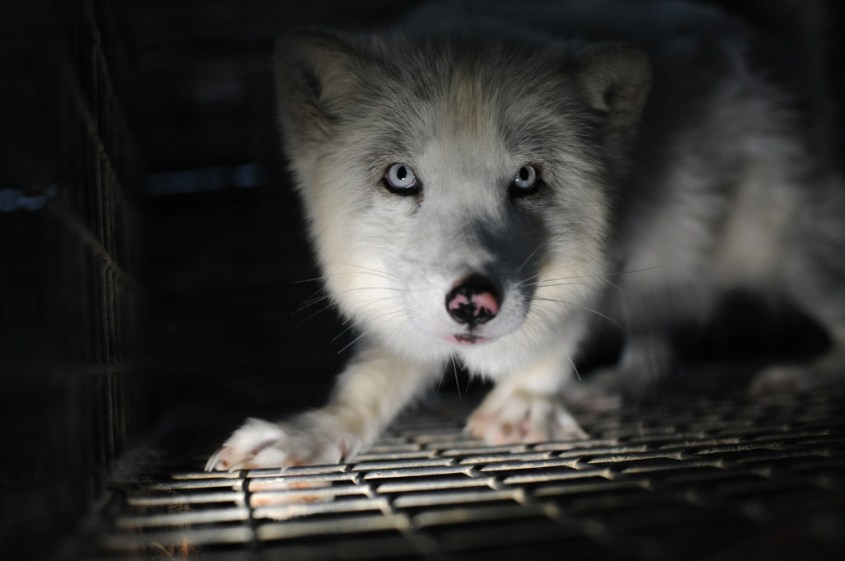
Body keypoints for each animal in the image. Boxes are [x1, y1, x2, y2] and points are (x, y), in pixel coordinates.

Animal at [206, 1, 845, 471]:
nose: (472, 302)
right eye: (401, 177)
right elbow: (370, 382)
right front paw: (311, 432)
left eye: (527, 178)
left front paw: (527, 399)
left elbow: (562, 329)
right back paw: (614, 384)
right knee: (656, 350)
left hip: (793, 260)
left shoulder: (612, 251)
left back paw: (803, 375)